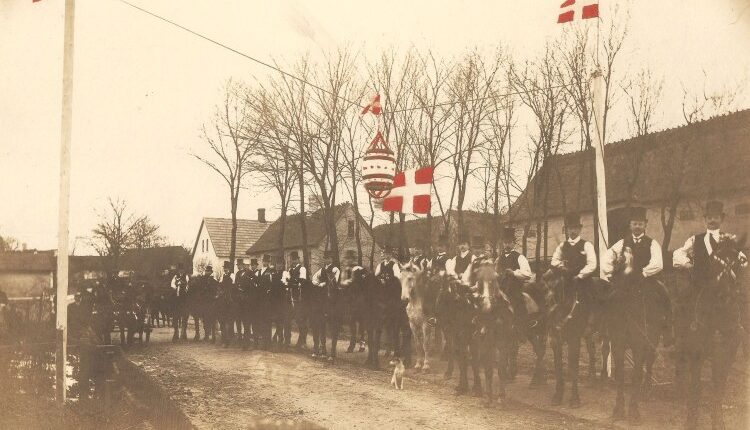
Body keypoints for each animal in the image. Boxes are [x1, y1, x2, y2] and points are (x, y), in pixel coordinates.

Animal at [608, 245, 668, 424]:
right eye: (617, 265)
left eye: (634, 277)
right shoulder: (618, 346)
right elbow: (621, 375)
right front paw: (619, 409)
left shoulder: (639, 346)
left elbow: (636, 375)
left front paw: (634, 411)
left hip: (652, 340)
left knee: (648, 363)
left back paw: (646, 390)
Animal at [680, 235, 748, 430]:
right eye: (714, 262)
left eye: (737, 263)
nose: (725, 295)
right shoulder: (697, 353)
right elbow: (696, 386)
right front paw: (691, 420)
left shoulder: (726, 354)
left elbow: (719, 387)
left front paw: (718, 421)